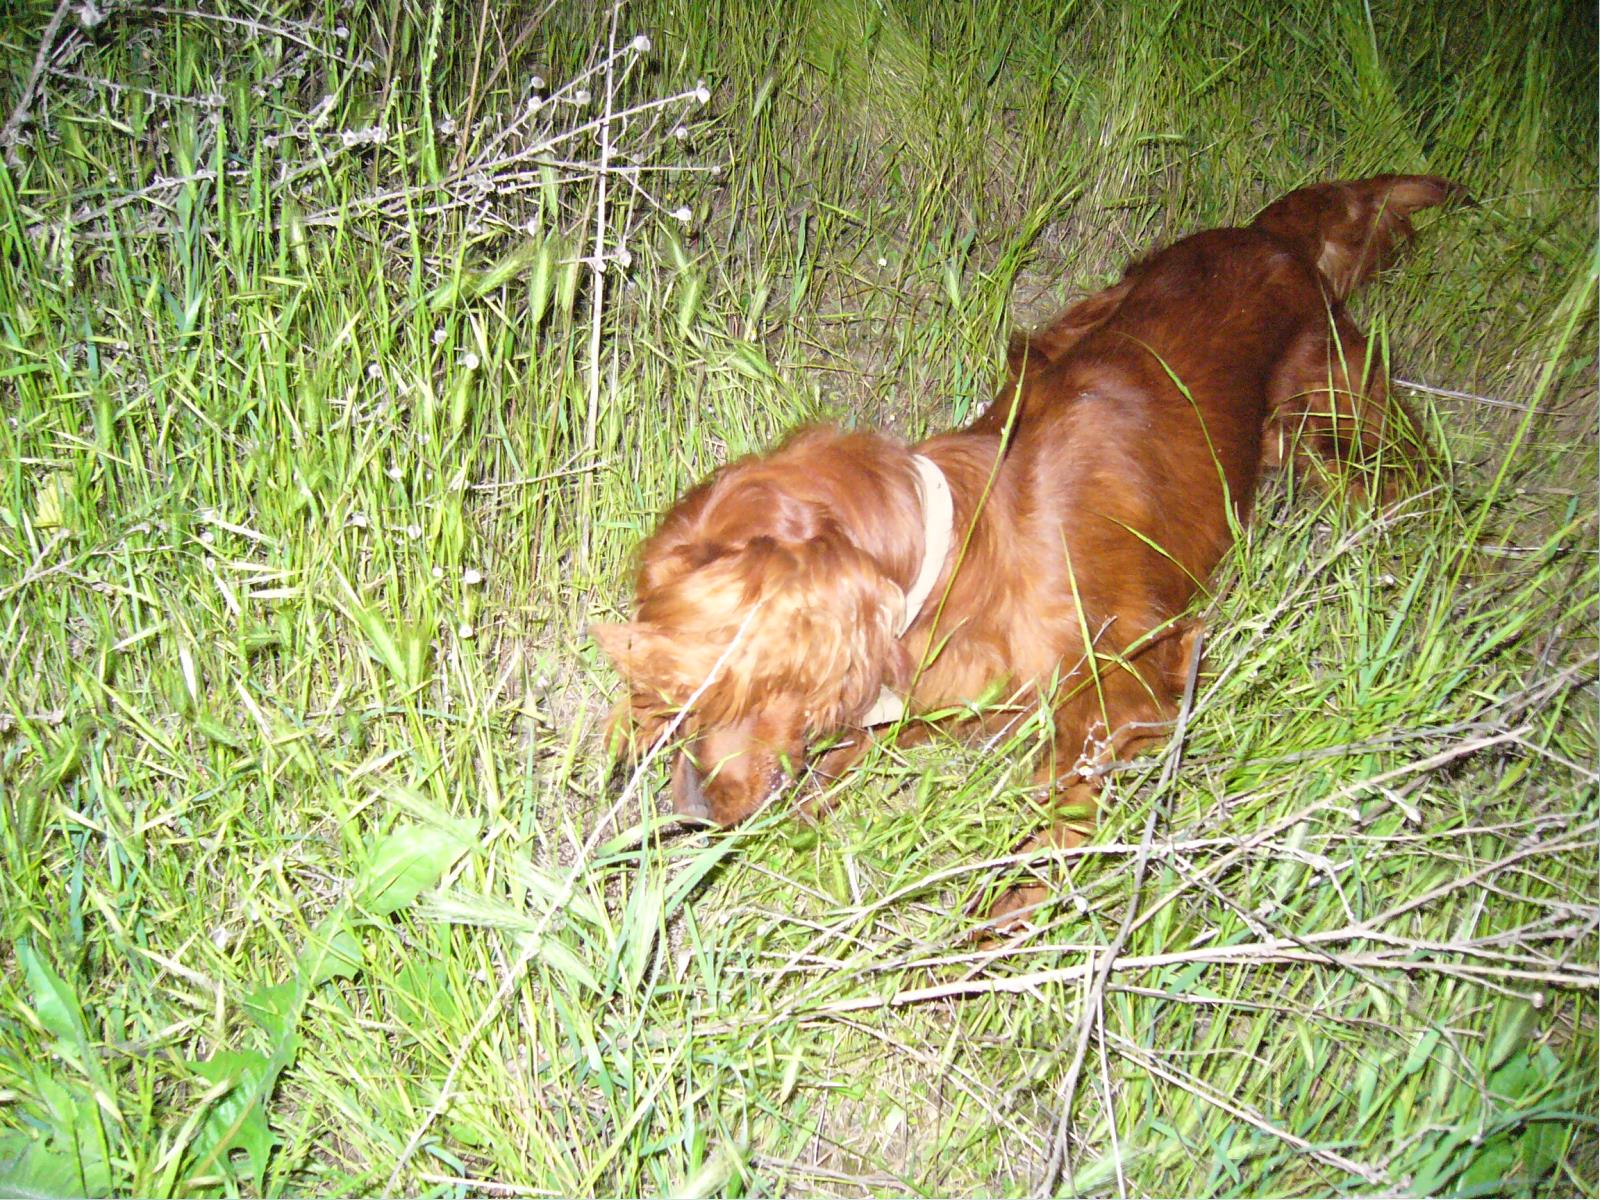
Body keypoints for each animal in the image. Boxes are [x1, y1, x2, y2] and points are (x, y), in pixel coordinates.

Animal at [594, 175, 1465, 927]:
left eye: (713, 679)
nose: (688, 811)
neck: (964, 544)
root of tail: (1265, 234)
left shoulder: (1137, 682)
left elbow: (1051, 826)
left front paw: (983, 932)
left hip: (1344, 421)